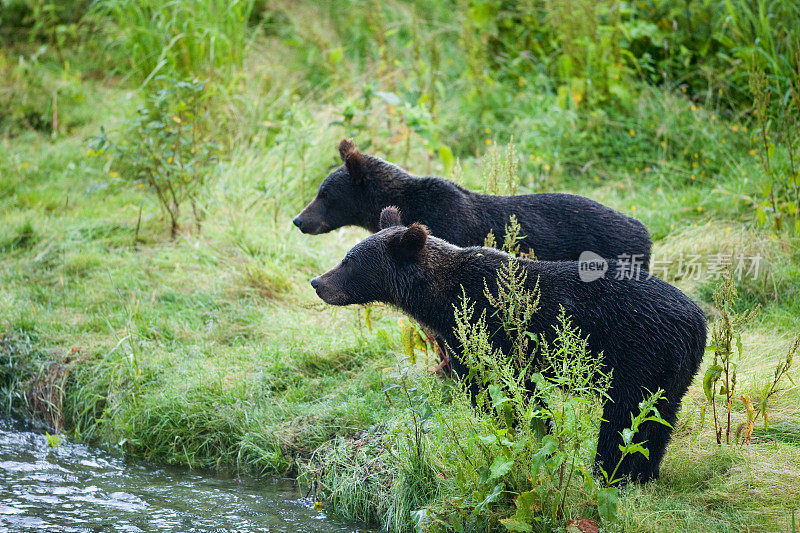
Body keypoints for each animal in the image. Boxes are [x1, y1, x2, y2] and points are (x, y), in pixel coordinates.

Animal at [312, 206, 708, 480]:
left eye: (349, 261)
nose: (318, 282)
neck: (439, 299)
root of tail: (697, 322)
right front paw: (539, 434)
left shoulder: (483, 330)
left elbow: (491, 388)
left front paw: (515, 433)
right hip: (672, 370)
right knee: (659, 420)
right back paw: (644, 473)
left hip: (638, 354)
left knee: (625, 418)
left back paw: (609, 472)